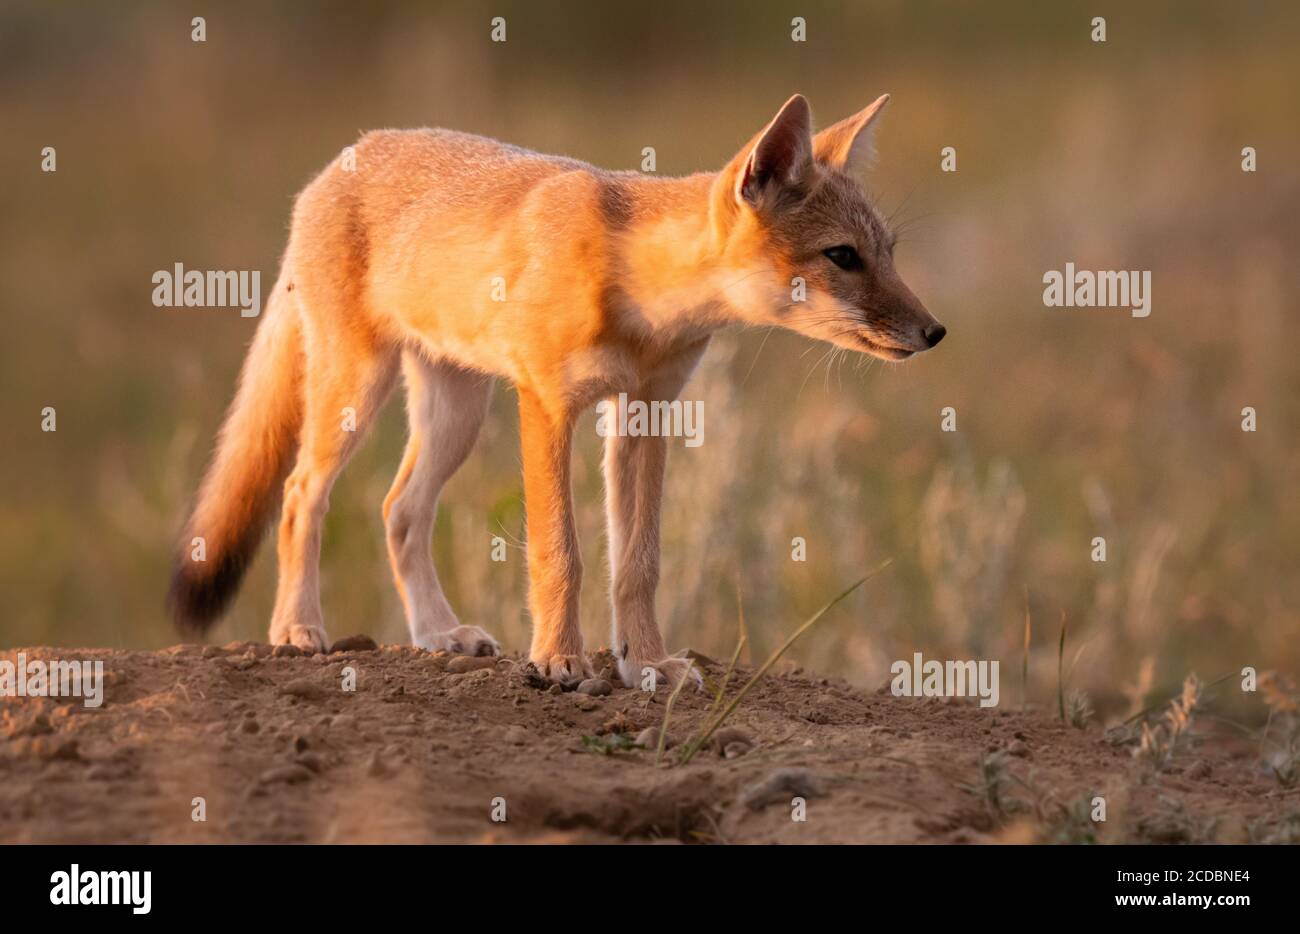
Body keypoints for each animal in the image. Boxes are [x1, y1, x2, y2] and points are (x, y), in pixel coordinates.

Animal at [170, 94, 946, 686]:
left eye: (889, 255)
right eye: (843, 257)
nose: (935, 332)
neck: (635, 289)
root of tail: (342, 158)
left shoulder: (645, 412)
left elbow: (637, 562)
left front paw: (646, 663)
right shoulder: (545, 403)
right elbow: (559, 551)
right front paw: (560, 660)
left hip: (456, 416)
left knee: (398, 509)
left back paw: (437, 633)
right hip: (356, 394)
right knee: (301, 493)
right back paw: (299, 626)